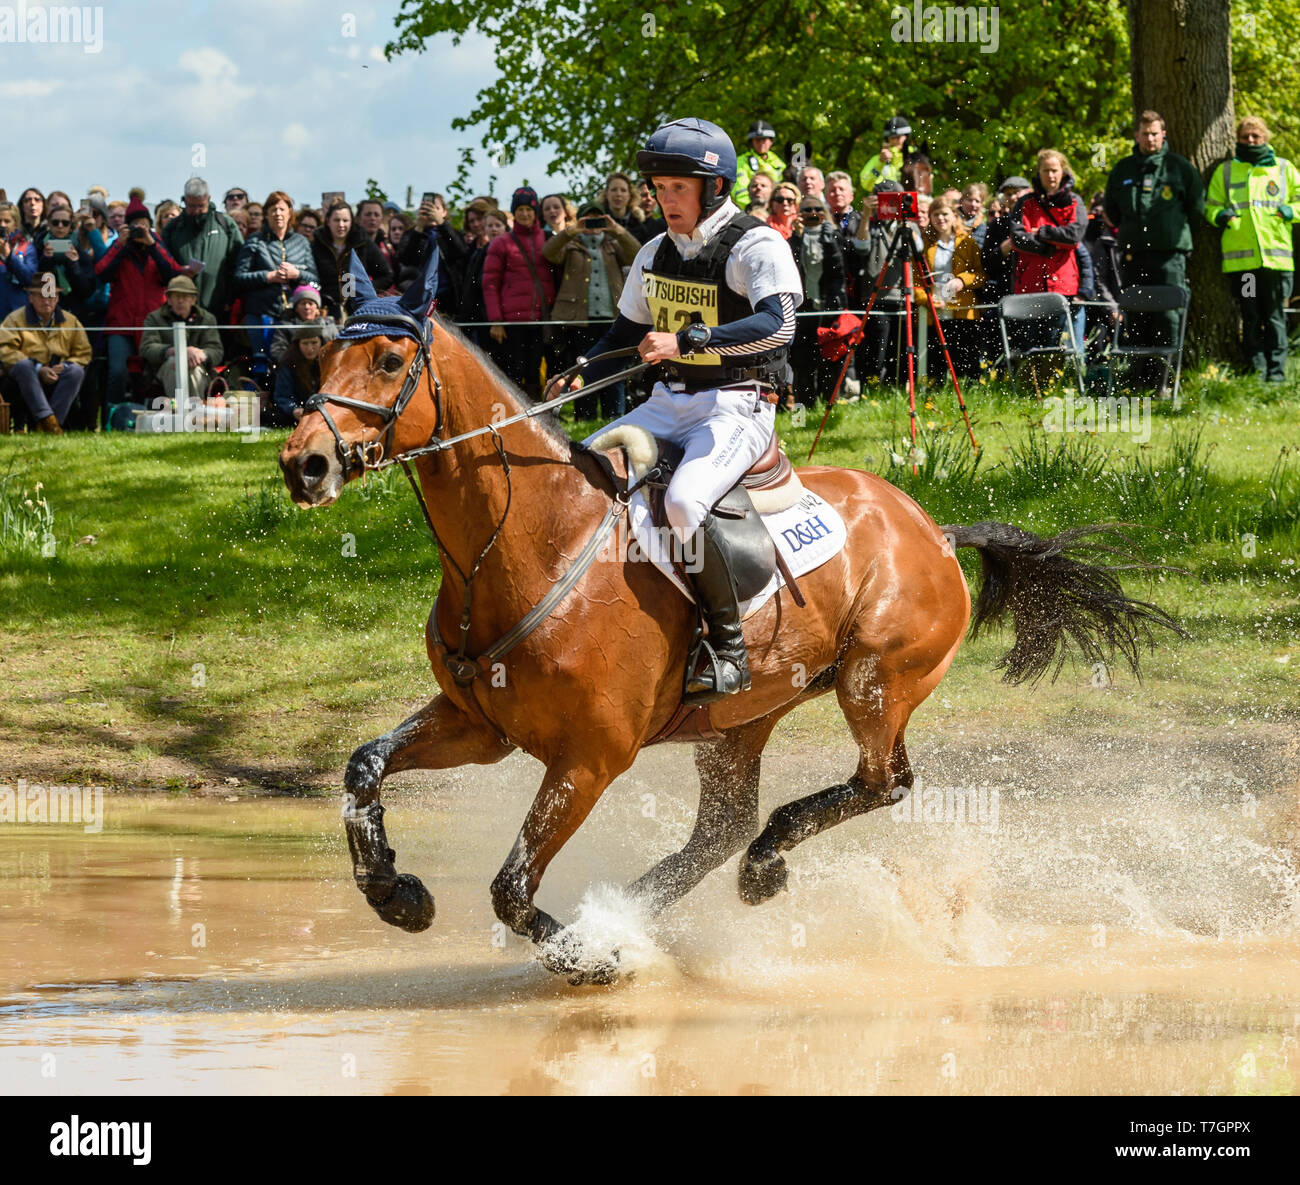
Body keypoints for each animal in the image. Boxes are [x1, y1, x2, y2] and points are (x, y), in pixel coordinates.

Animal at [279, 249, 1175, 982]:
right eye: (321, 353)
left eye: (389, 358)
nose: (303, 463)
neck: (526, 539)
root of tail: (938, 531)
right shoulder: (480, 723)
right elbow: (362, 766)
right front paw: (394, 891)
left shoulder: (589, 759)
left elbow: (511, 886)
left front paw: (589, 954)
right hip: (740, 720)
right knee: (723, 824)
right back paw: (645, 902)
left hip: (874, 680)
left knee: (880, 783)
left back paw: (751, 869)